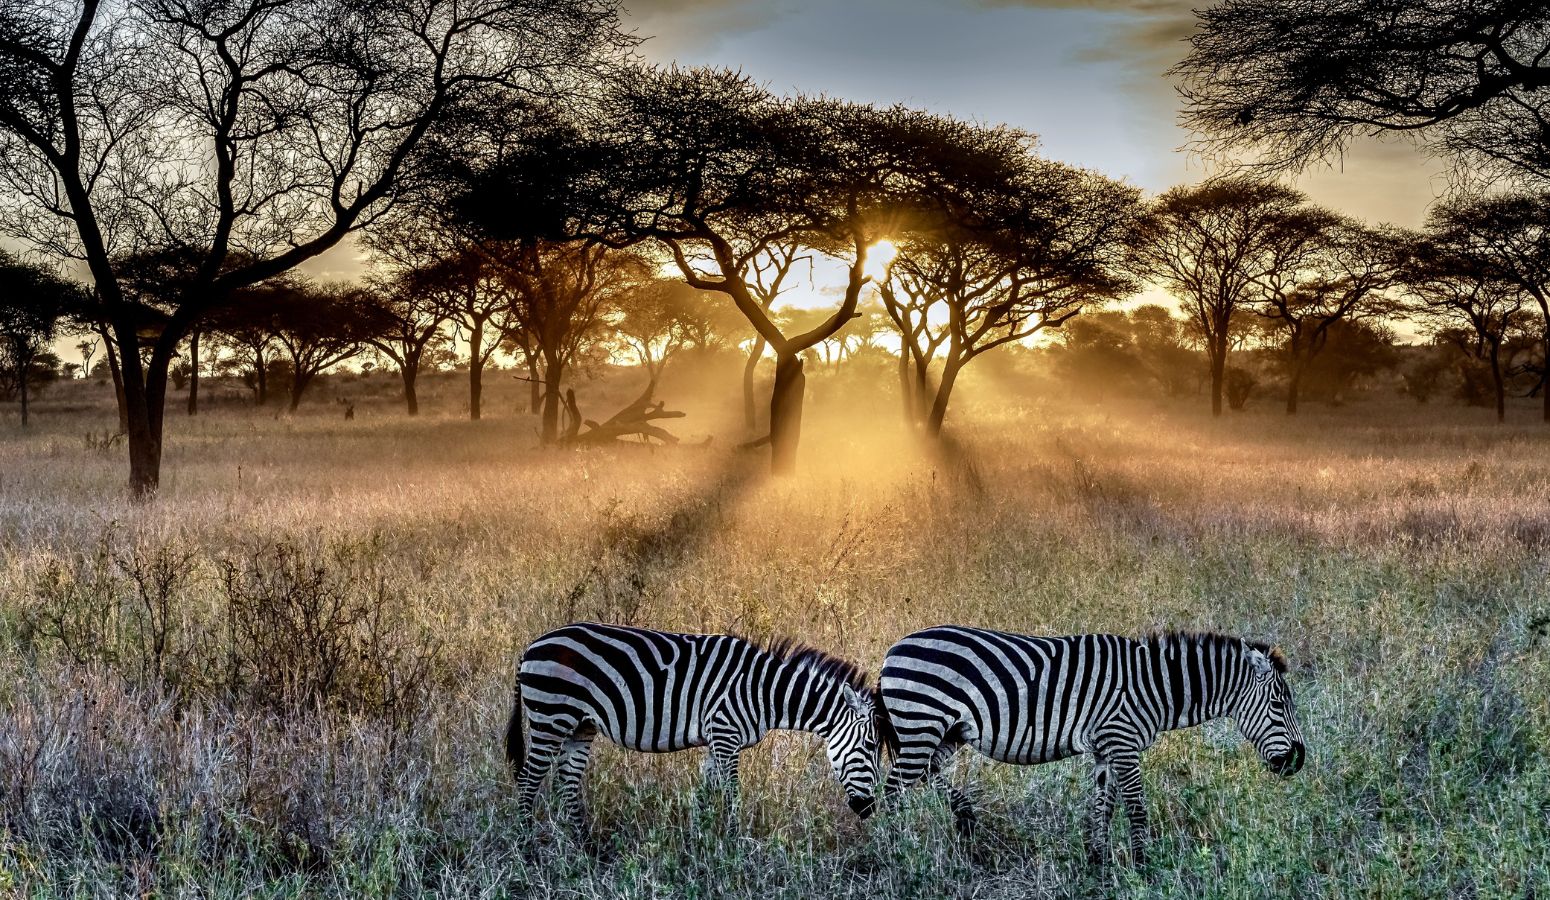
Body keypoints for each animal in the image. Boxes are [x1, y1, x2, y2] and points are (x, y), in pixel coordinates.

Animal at [502, 622, 880, 830]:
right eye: (870, 747)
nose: (869, 809)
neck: (761, 691)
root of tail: (531, 646)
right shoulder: (725, 735)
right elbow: (732, 795)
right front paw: (736, 846)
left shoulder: (717, 741)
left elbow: (704, 796)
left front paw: (700, 842)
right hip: (550, 718)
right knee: (529, 781)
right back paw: (527, 845)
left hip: (579, 726)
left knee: (567, 781)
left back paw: (584, 846)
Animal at [880, 625, 1302, 861]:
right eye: (1279, 705)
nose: (1297, 761)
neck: (1152, 688)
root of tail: (894, 648)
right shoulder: (1122, 742)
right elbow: (1136, 809)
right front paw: (1142, 866)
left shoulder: (1105, 749)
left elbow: (1103, 808)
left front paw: (1098, 861)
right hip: (921, 725)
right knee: (892, 790)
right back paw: (897, 851)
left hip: (947, 731)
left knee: (928, 772)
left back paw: (963, 818)